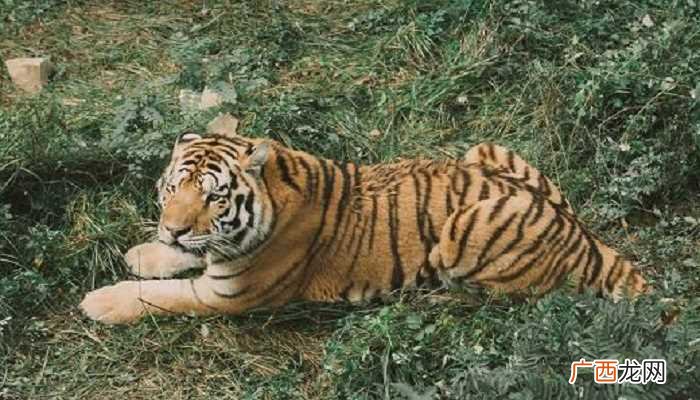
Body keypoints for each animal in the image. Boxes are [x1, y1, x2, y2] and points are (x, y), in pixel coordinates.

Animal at [80, 130, 649, 324]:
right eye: (173, 189)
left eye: (214, 195)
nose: (172, 228)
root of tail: (586, 237)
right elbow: (185, 256)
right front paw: (148, 251)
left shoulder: (230, 295)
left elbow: (164, 295)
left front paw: (103, 301)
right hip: (483, 150)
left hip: (463, 230)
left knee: (497, 300)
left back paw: (435, 297)